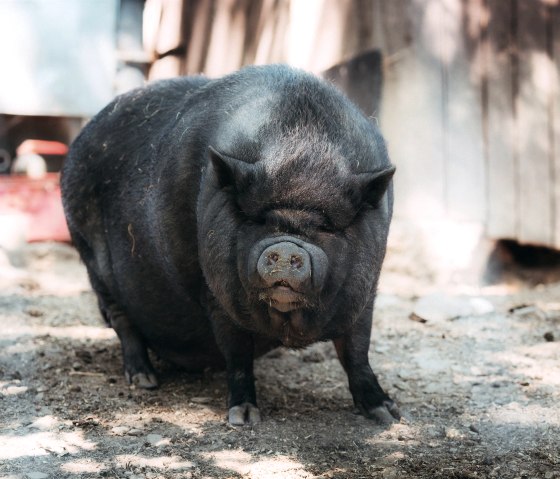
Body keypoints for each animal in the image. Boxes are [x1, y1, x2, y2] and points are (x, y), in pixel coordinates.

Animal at [61, 64, 398, 428]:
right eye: (259, 220)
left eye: (326, 227)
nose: (287, 249)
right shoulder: (215, 291)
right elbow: (237, 354)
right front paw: (244, 418)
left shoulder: (366, 292)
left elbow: (357, 352)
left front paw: (386, 414)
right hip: (91, 259)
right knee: (123, 322)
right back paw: (144, 380)